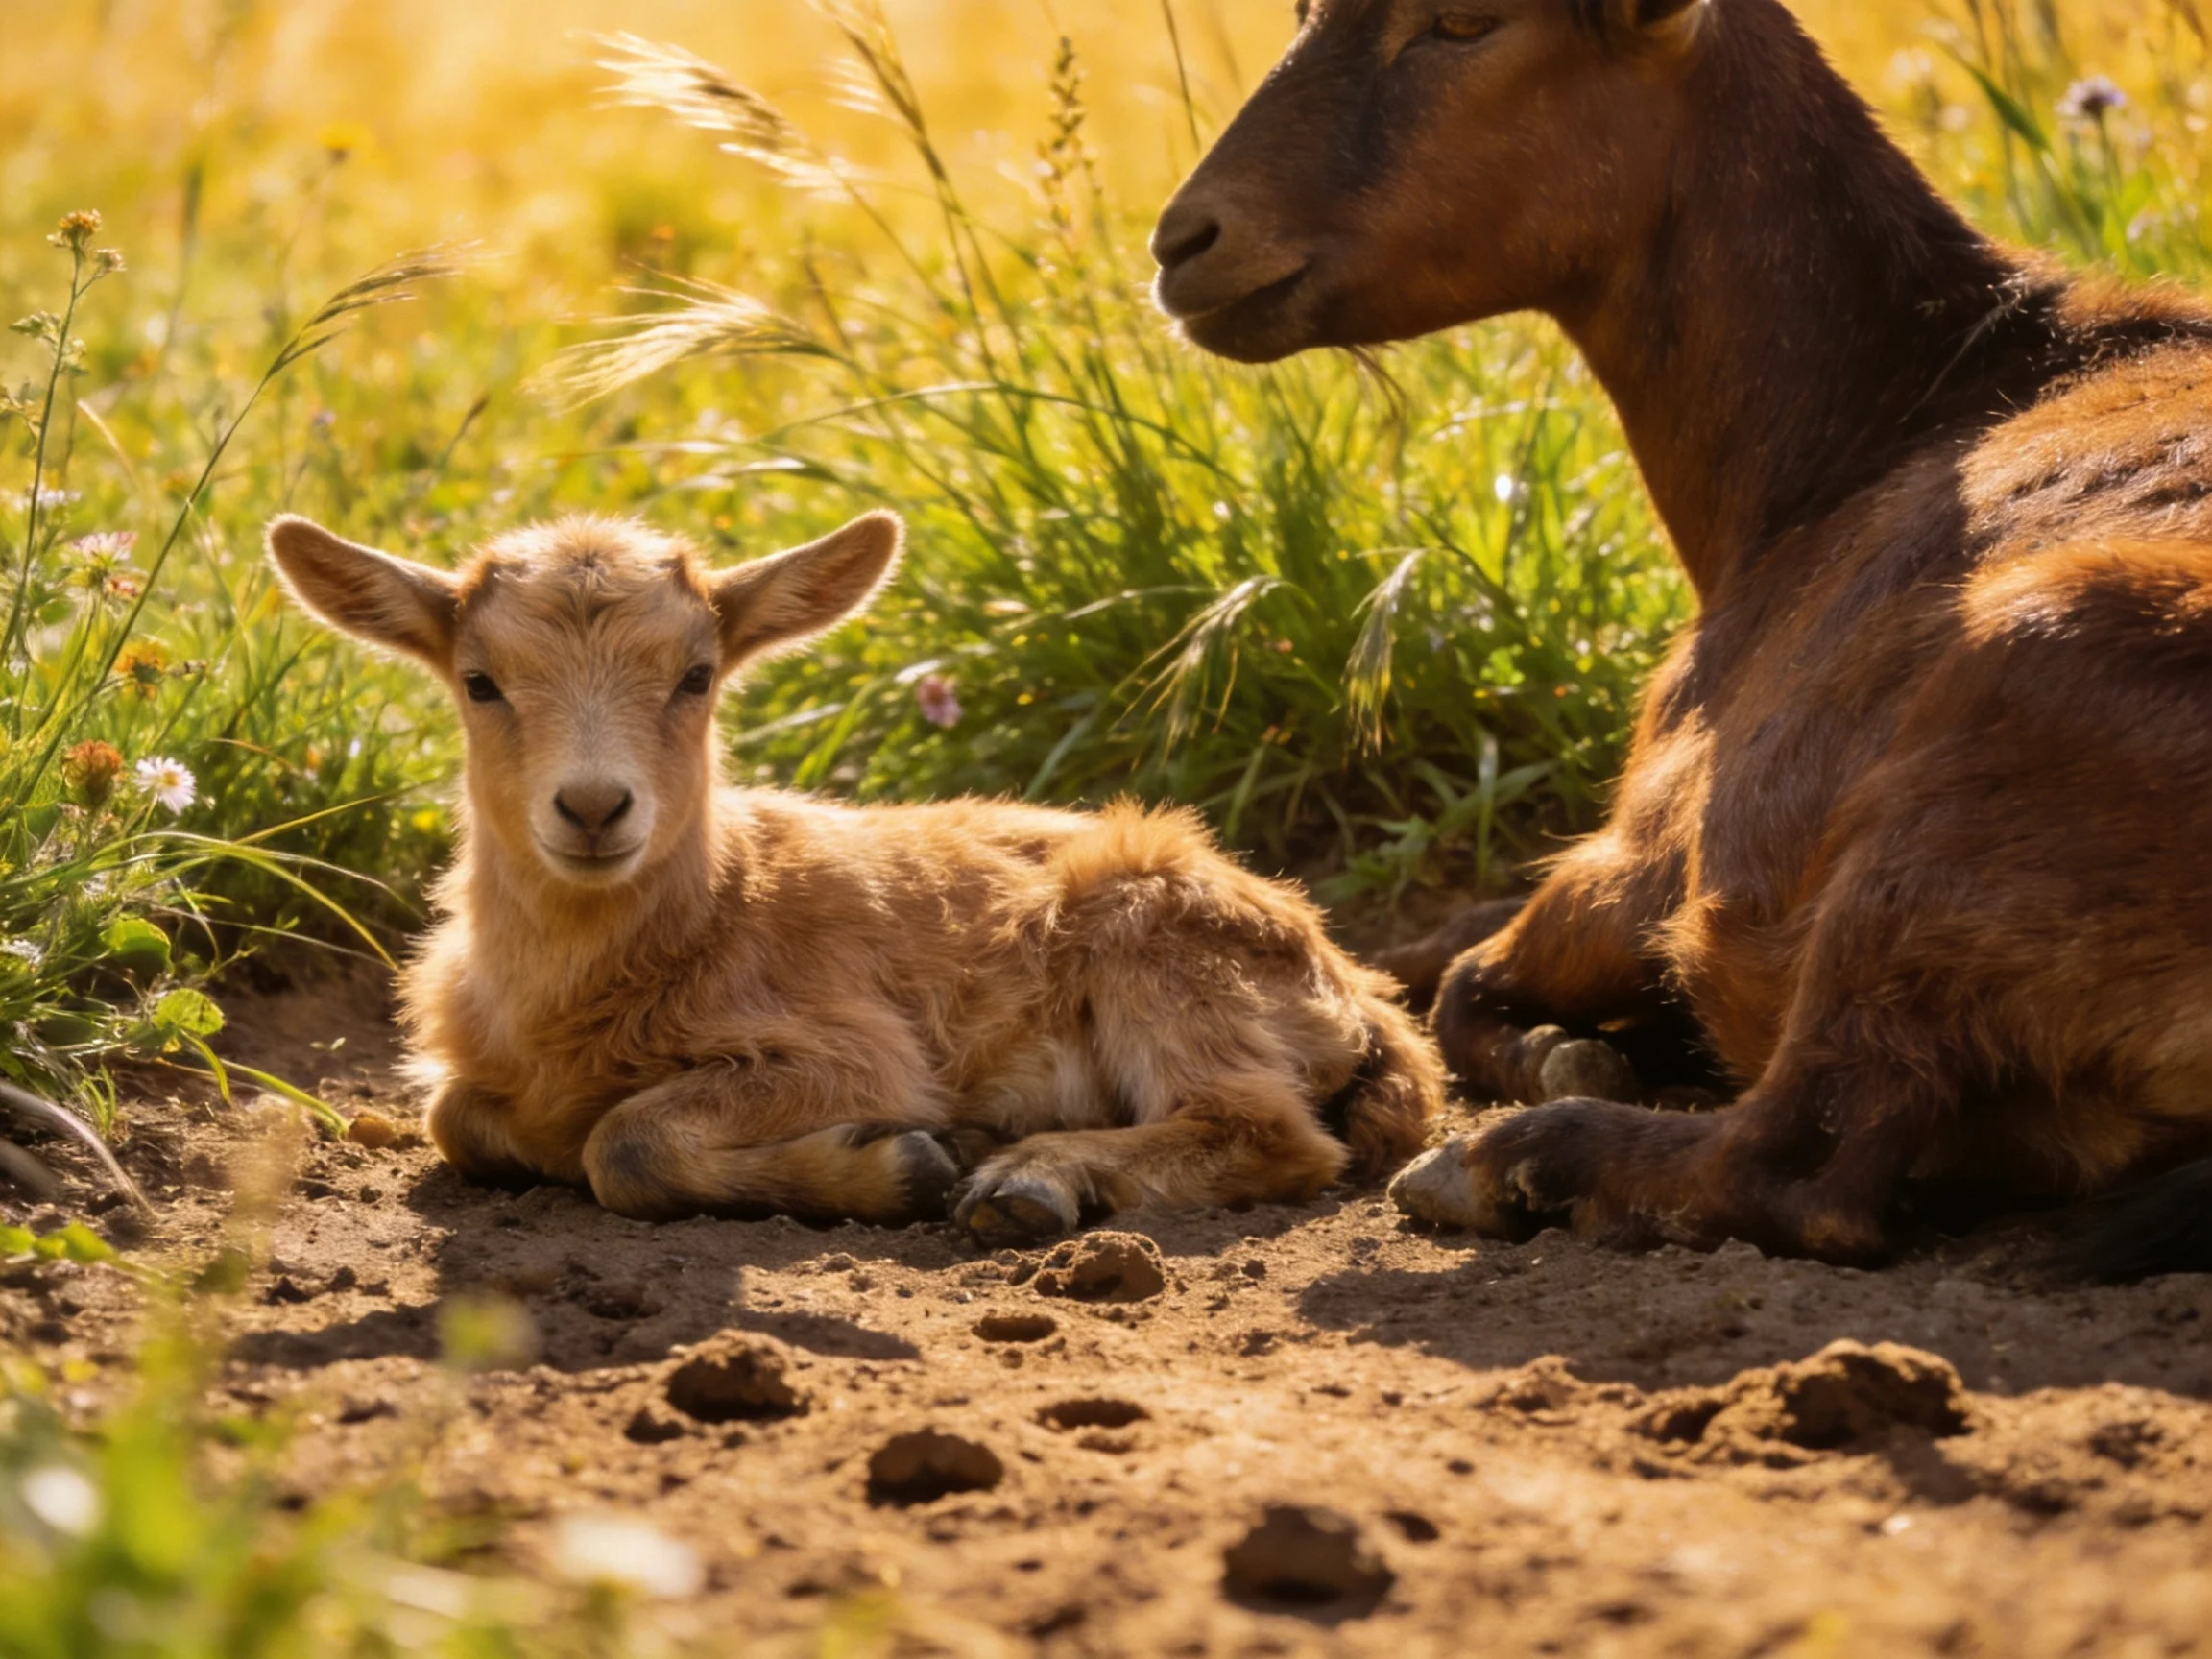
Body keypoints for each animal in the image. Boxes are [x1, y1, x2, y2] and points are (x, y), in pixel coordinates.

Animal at [265, 510, 1441, 1240]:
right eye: (479, 681)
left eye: (697, 675)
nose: (595, 808)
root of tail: (1363, 992)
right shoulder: (477, 1076)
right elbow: (457, 1118)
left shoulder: (853, 1051)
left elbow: (625, 1142)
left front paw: (903, 1165)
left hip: (1161, 938)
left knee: (1269, 1132)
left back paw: (1025, 1178)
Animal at [1151, 0, 2212, 1273]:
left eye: (1463, 22)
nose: (1185, 241)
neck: (1887, 414)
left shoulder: (1643, 850)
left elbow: (1464, 977)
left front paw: (1565, 1056)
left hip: (1994, 722)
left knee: (1807, 1166)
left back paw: (1507, 1162)